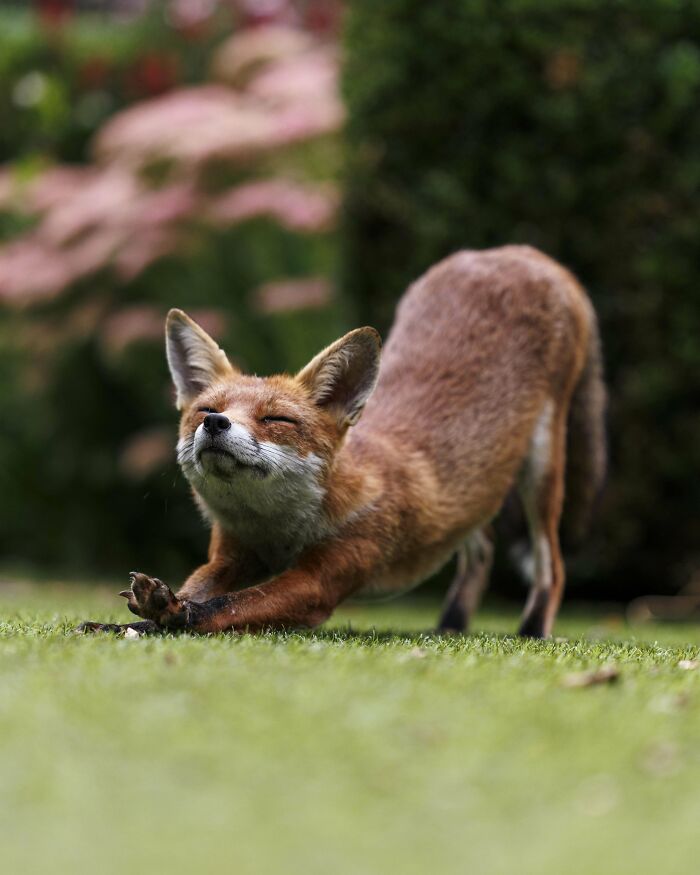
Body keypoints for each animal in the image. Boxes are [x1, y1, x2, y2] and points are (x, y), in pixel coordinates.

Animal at [80, 245, 606, 638]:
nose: (216, 425)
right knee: (481, 548)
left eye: (275, 418)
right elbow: (202, 588)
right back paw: (450, 625)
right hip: (480, 483)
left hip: (542, 471)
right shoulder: (232, 555)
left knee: (552, 567)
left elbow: (228, 606)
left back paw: (531, 631)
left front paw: (171, 616)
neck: (281, 529)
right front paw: (126, 623)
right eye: (205, 412)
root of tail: (517, 252)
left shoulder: (322, 577)